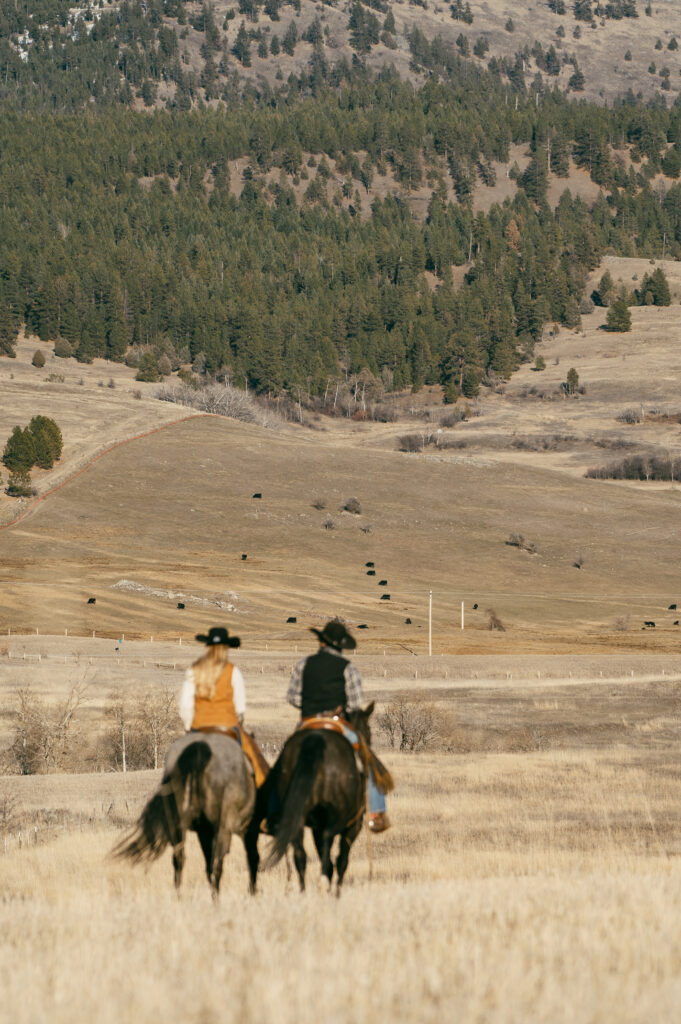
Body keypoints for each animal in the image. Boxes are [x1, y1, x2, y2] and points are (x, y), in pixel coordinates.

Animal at [114, 737, 258, 897]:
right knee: (218, 864)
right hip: (221, 829)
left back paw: (180, 896)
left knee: (179, 860)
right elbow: (252, 858)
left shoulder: (204, 833)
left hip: (179, 829)